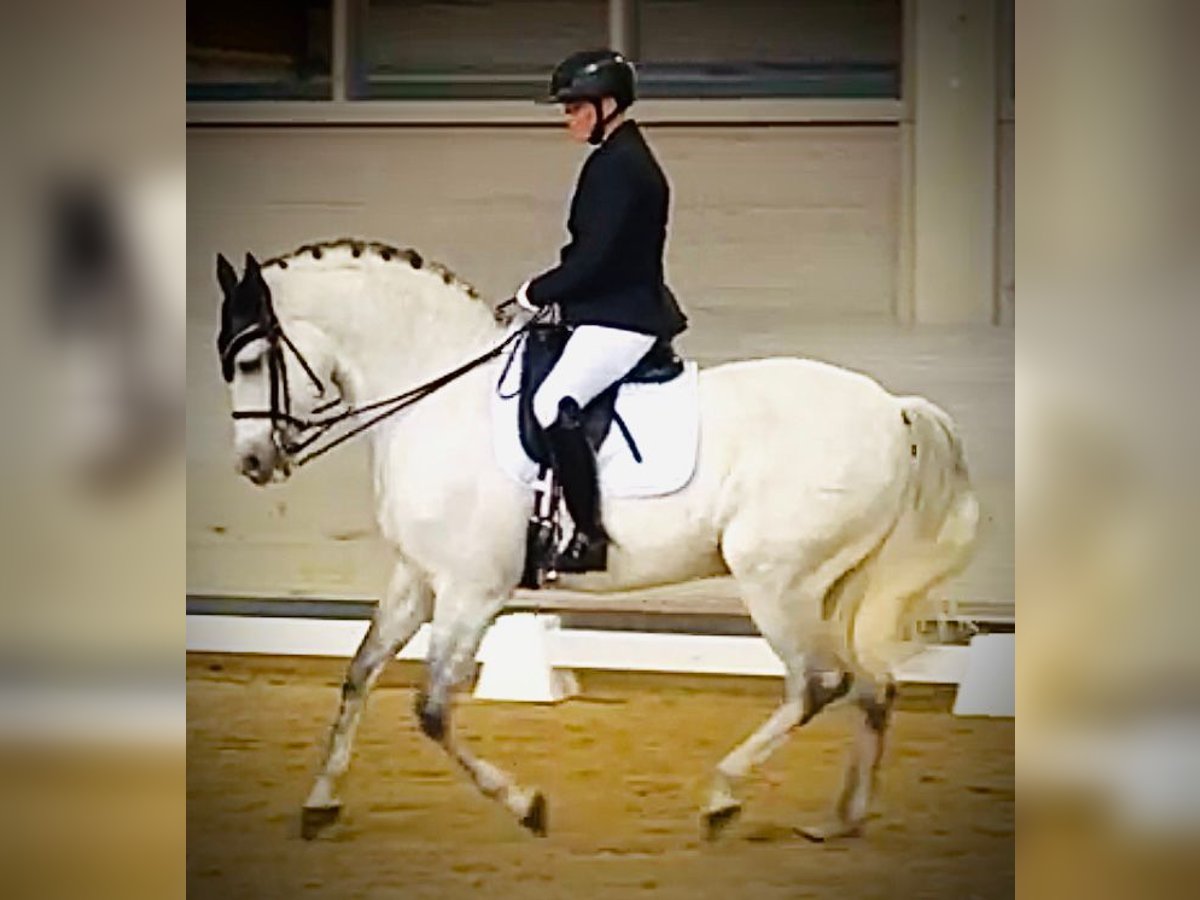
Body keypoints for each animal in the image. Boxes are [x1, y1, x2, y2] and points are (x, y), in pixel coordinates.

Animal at [216, 241, 979, 844]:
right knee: (874, 686)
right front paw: (320, 803)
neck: (436, 399)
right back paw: (840, 819)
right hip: (837, 583)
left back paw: (722, 797)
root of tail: (890, 408)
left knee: (820, 681)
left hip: (777, 579)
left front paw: (527, 805)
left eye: (251, 359)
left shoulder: (470, 589)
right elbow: (359, 675)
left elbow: (432, 710)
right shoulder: (419, 577)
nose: (252, 462)